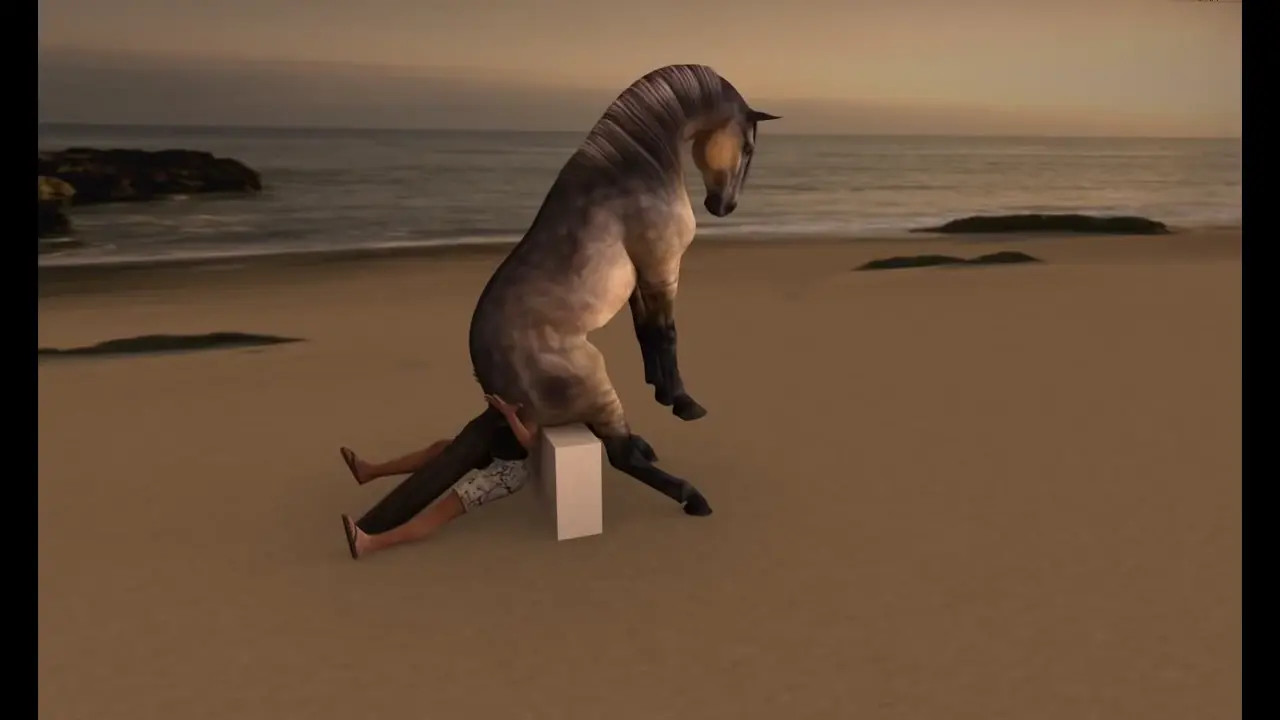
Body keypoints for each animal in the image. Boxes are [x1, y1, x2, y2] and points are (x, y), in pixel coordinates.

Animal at [355, 64, 779, 534]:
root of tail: (500, 396)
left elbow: (646, 334)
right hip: (595, 381)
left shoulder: (639, 281)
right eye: (748, 146)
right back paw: (692, 497)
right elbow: (666, 333)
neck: (636, 173)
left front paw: (662, 392)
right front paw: (685, 403)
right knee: (619, 454)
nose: (725, 206)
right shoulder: (661, 270)